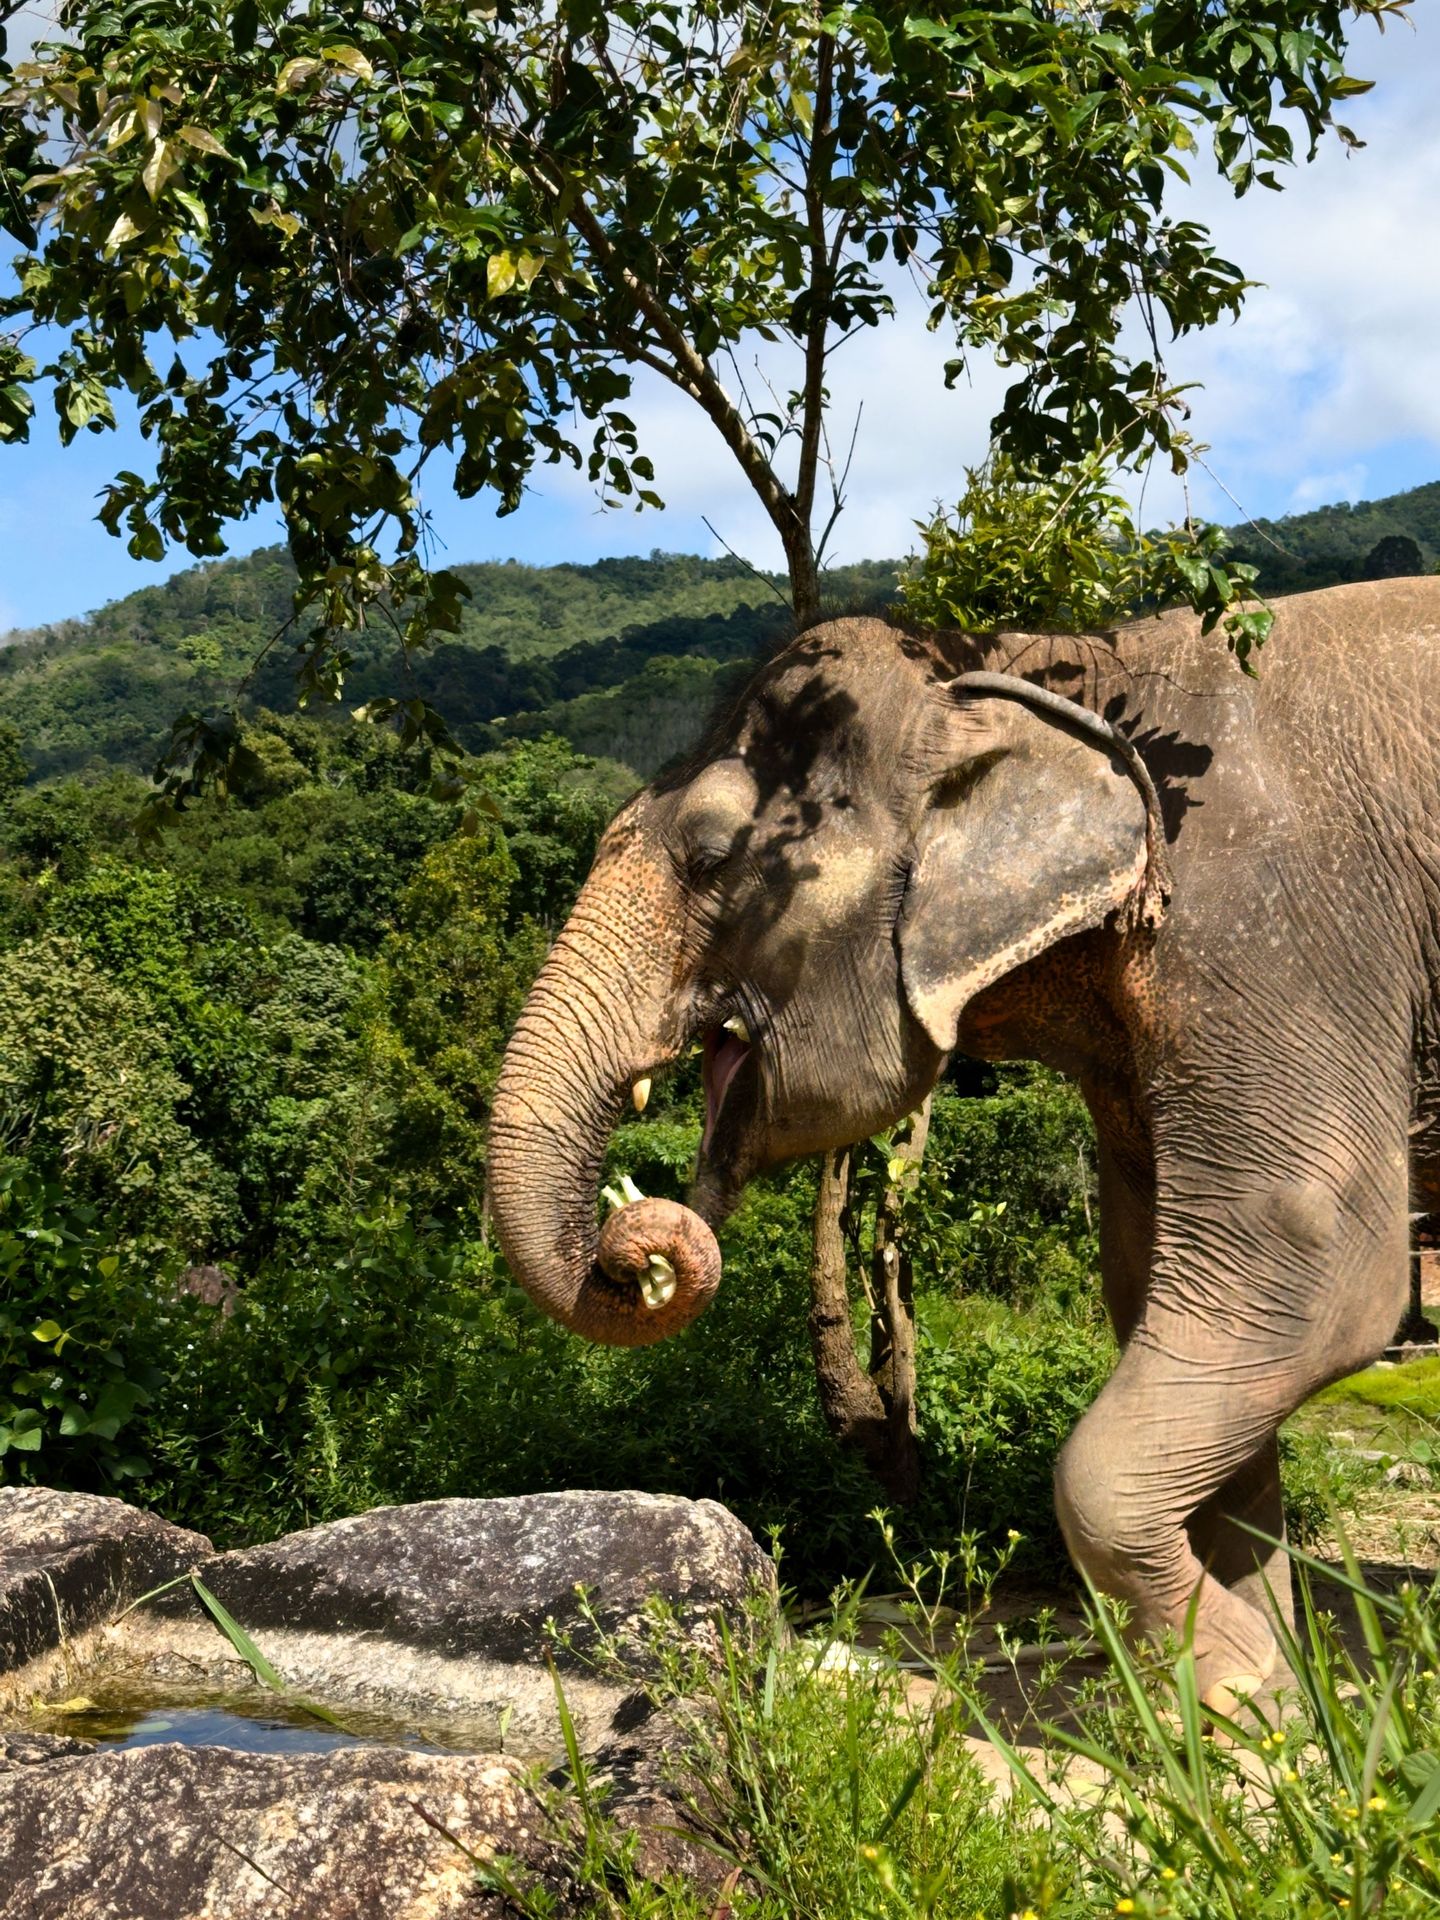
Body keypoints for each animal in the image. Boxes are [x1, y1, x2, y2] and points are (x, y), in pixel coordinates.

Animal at [488, 574, 1440, 1713]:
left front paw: (1238, 1713)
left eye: (711, 857)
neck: (1055, 661)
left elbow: (1316, 1265)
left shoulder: (1273, 931)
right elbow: (1160, 1290)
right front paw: (1277, 1711)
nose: (637, 1246)